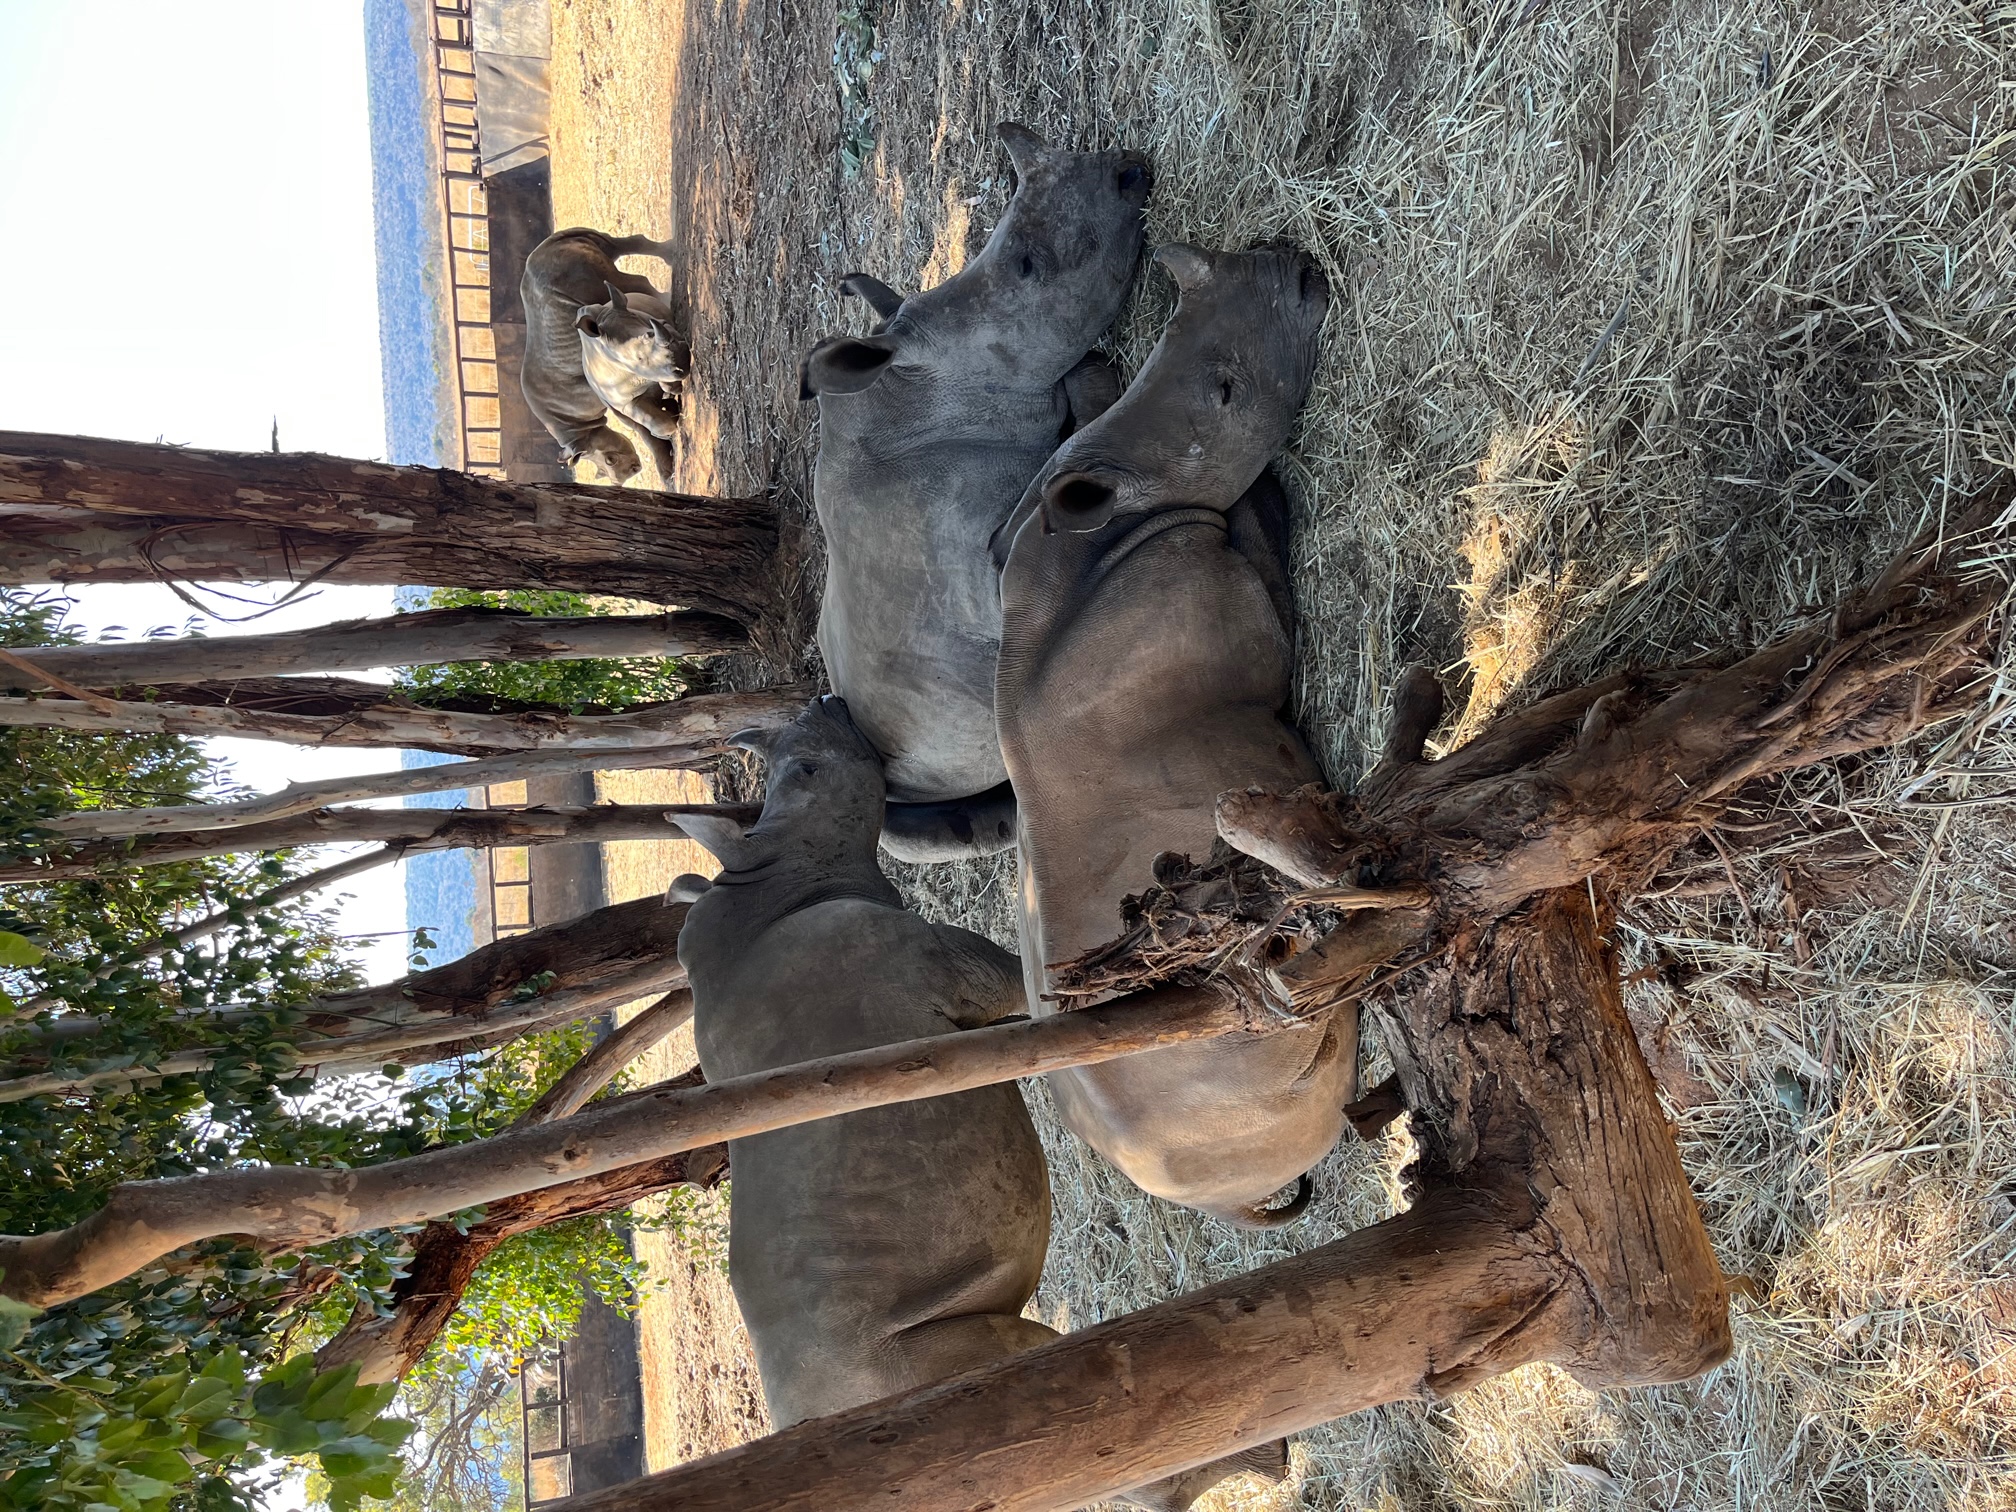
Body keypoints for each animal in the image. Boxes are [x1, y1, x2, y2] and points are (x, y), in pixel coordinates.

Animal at [520, 227, 681, 481]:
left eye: (610, 460)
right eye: (604, 470)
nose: (627, 476)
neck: (576, 430)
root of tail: (550, 243)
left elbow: (638, 427)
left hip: (570, 271)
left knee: (624, 283)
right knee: (616, 252)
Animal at [676, 696, 1286, 1510]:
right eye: (807, 770)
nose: (825, 701)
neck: (773, 875)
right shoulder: (924, 960)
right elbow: (1028, 987)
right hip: (905, 1374)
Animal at [993, 244, 1348, 1229]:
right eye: (1227, 392)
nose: (1295, 268)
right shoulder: (1238, 606)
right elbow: (1267, 543)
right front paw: (1272, 493)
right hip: (1224, 1077)